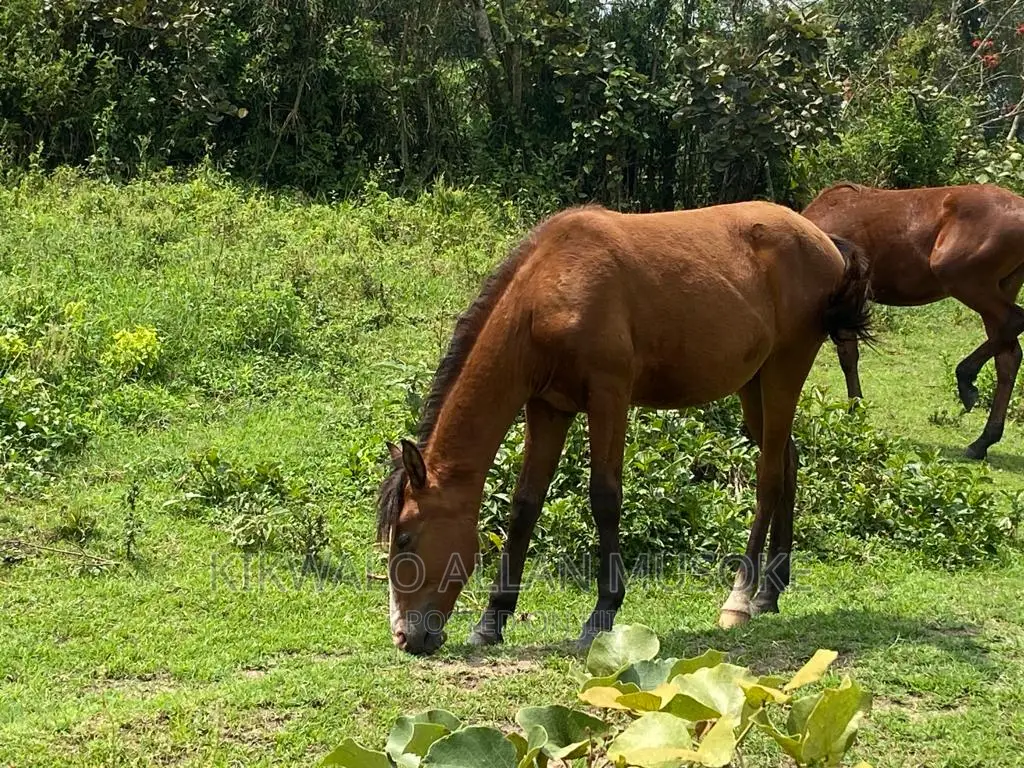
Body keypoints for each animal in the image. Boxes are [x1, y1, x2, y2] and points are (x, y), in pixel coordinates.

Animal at [377, 201, 872, 655]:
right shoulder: (548, 408)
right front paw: (491, 621)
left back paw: (742, 597)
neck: (549, 291)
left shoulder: (609, 397)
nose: (405, 636)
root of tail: (824, 241)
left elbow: (605, 498)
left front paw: (601, 615)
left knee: (768, 477)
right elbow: (525, 506)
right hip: (754, 384)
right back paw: (771, 590)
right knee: (787, 461)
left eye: (405, 538)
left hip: (787, 367)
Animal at [804, 182, 1024, 460]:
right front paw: (856, 413)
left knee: (1013, 322)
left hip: (964, 281)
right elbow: (849, 358)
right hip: (1002, 287)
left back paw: (966, 381)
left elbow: (846, 357)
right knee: (1008, 356)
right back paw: (982, 441)